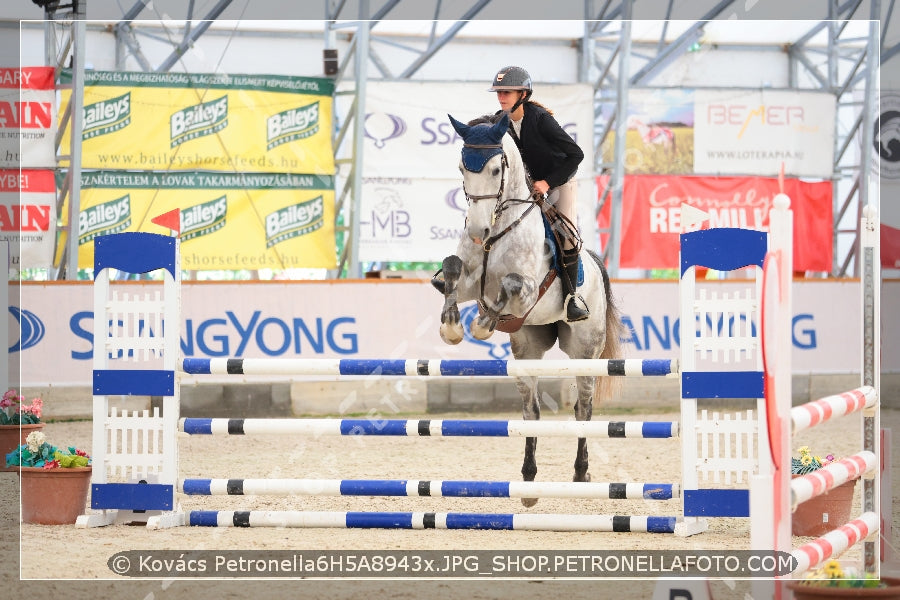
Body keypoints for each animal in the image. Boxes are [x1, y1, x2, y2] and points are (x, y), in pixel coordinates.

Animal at [438, 112, 624, 506]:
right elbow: (451, 270)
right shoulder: (468, 281)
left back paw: (581, 474)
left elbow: (508, 288)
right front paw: (451, 327)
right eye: (462, 167)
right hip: (528, 351)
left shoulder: (525, 292)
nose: (478, 231)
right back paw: (527, 482)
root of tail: (594, 261)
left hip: (584, 351)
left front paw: (481, 325)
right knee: (531, 411)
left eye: (495, 169)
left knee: (583, 408)